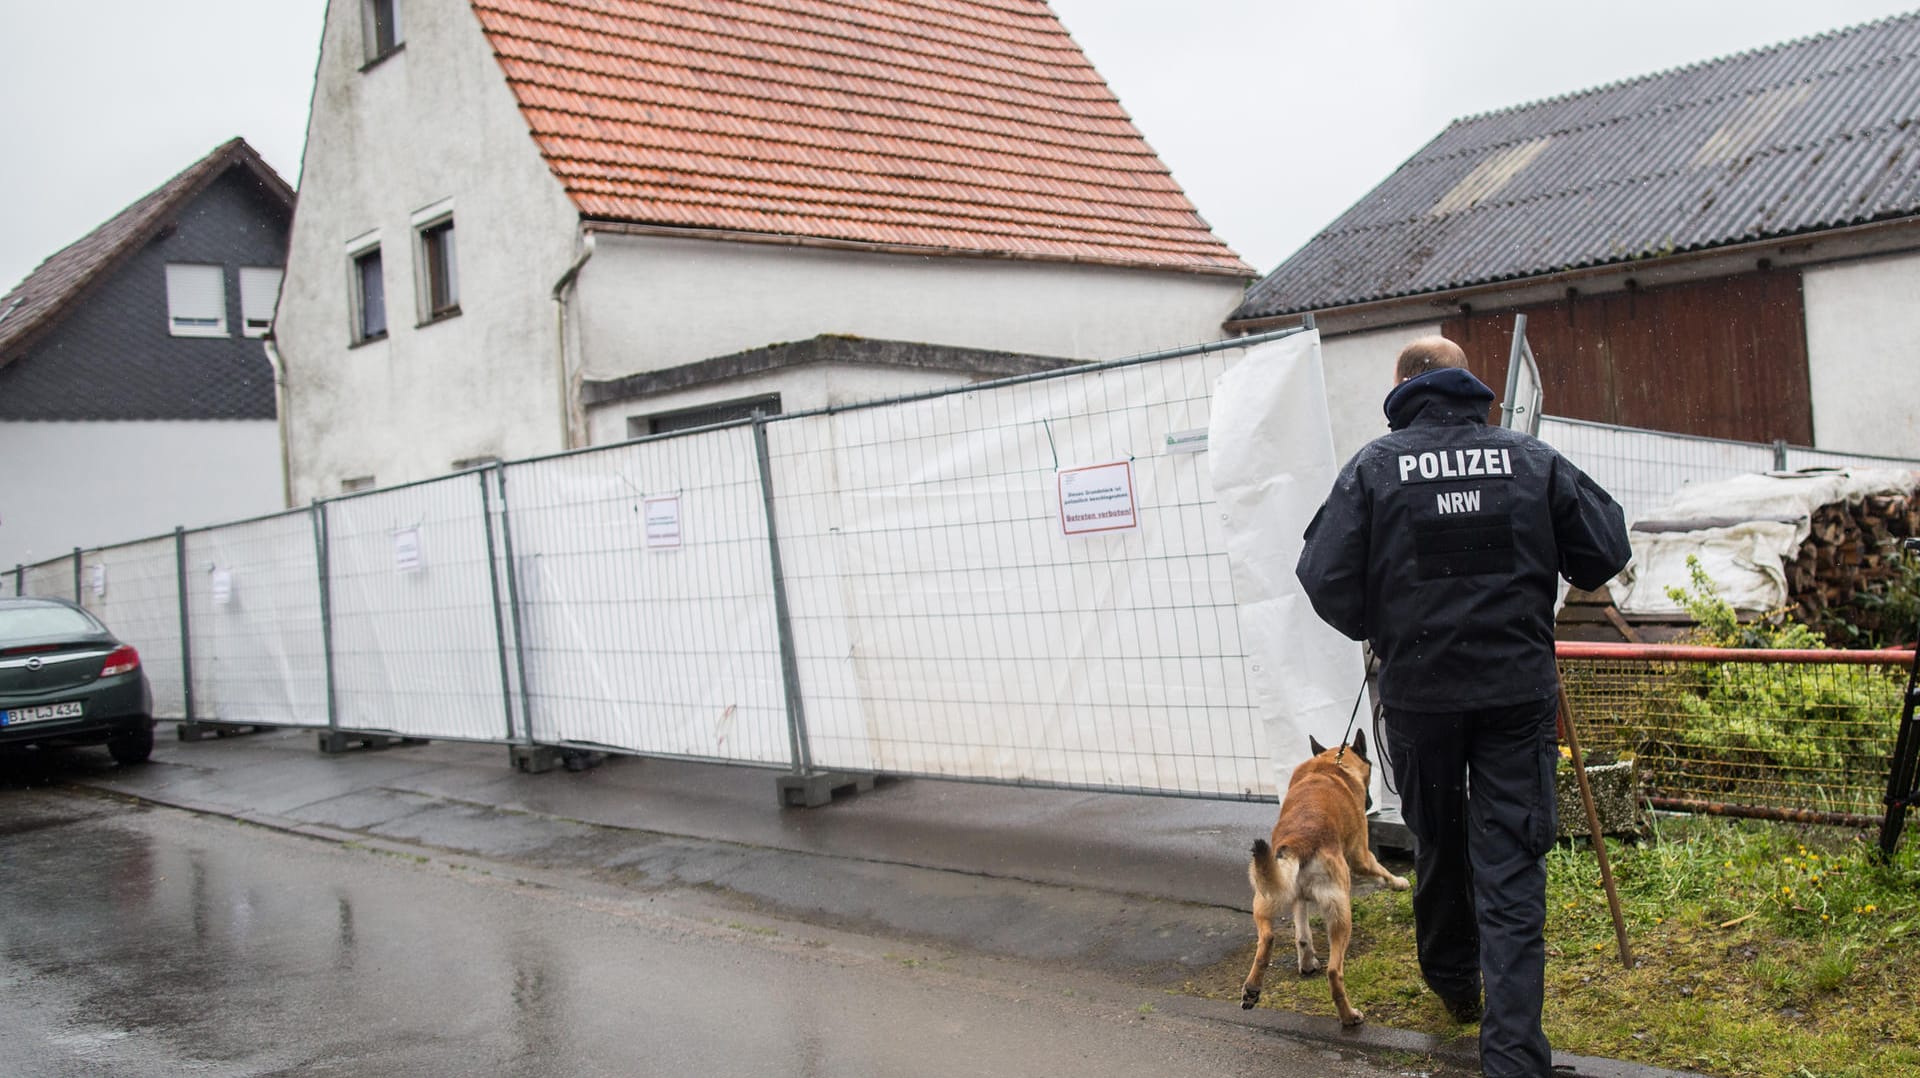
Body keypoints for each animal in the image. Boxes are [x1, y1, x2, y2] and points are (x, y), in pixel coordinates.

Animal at [1244, 726, 1413, 1022]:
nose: (1369, 802)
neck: (1331, 765)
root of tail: (1300, 840)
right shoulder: (1361, 856)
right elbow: (1380, 869)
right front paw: (1399, 882)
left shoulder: (1298, 896)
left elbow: (1302, 932)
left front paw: (1307, 959)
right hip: (1341, 914)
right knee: (1335, 972)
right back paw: (1349, 1016)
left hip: (1264, 899)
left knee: (1267, 939)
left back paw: (1253, 988)